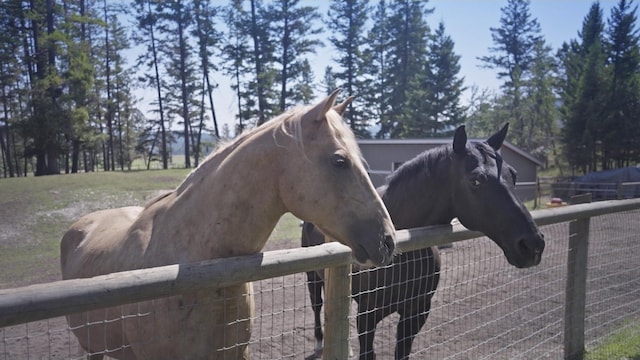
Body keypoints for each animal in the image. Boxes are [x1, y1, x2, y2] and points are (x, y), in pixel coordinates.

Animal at [302, 124, 544, 360]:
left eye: (513, 174)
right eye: (475, 180)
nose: (532, 244)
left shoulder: (415, 314)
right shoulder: (367, 318)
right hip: (313, 277)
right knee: (317, 306)